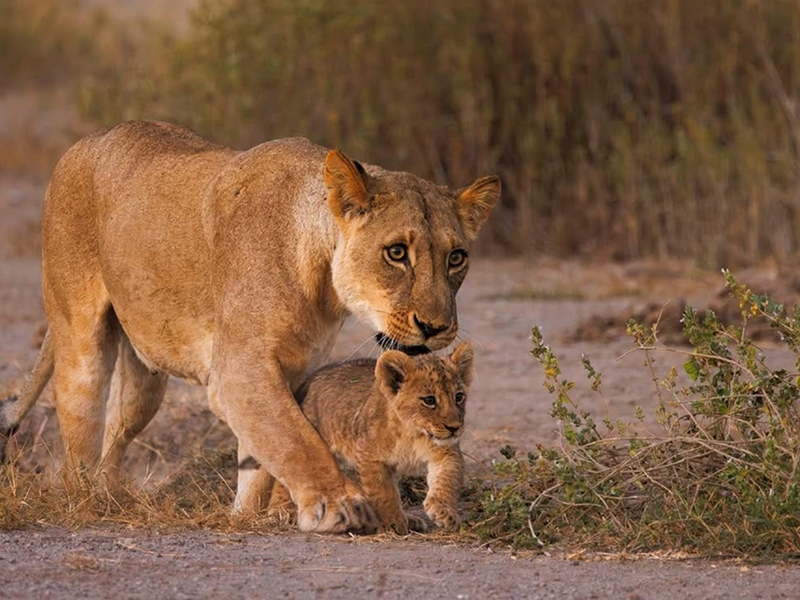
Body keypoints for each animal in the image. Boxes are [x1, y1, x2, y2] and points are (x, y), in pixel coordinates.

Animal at [267, 342, 474, 534]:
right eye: (429, 400)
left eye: (459, 396)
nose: (454, 428)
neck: (414, 433)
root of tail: (309, 380)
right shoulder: (370, 456)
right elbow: (383, 493)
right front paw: (392, 523)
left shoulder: (446, 452)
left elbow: (447, 480)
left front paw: (445, 513)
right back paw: (281, 511)